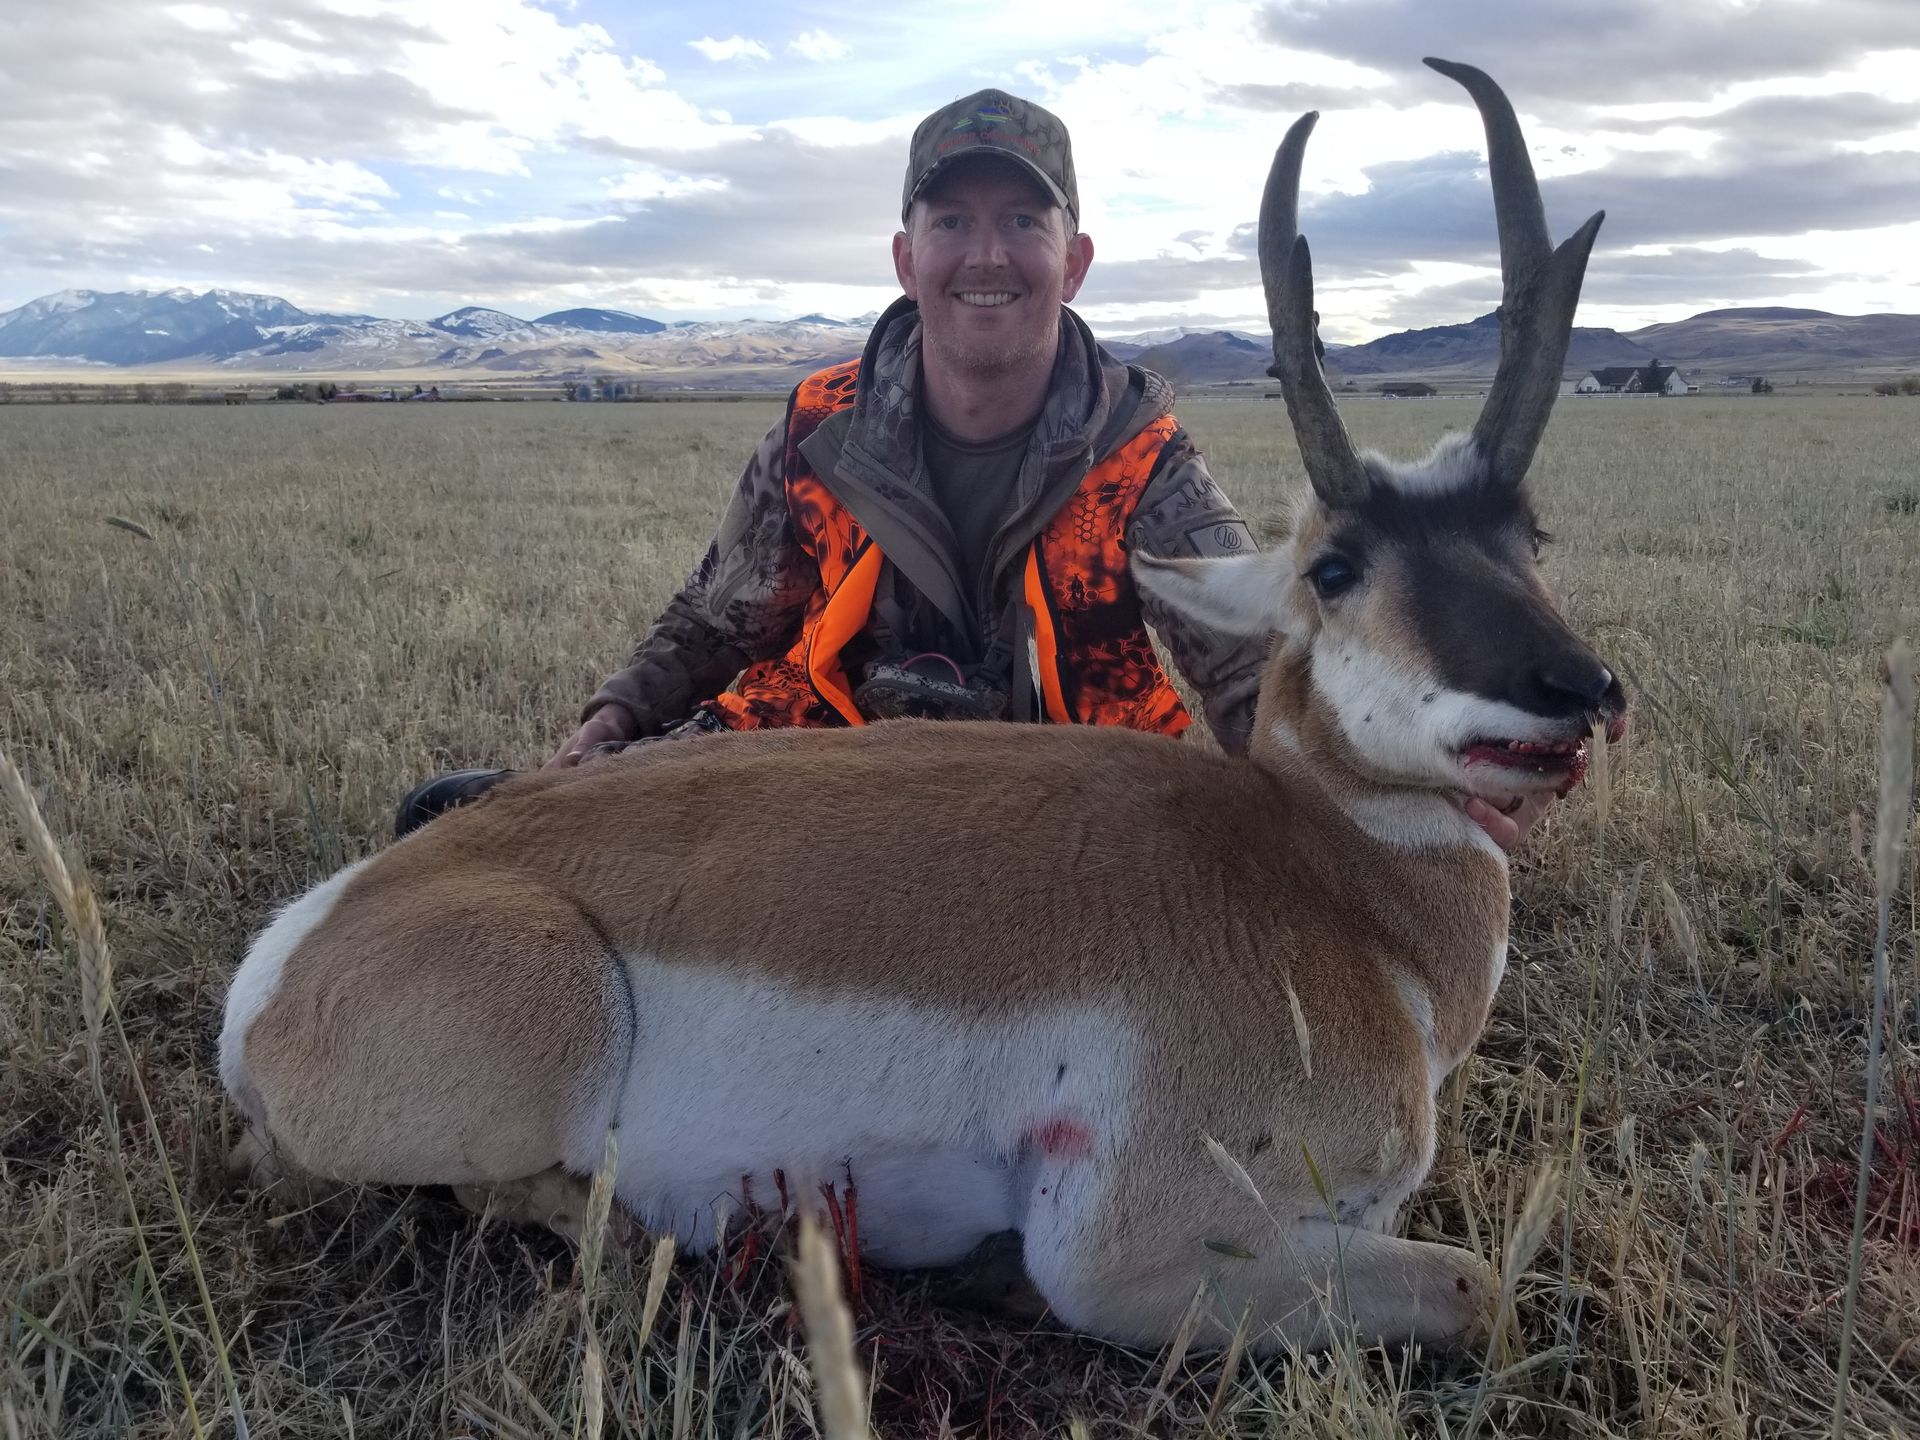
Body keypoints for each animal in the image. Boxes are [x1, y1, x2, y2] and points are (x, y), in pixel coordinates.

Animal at [220, 58, 1624, 1355]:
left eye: (1530, 533)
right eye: (1335, 568)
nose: (1582, 692)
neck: (1324, 880)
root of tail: (296, 950)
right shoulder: (1132, 1257)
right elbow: (1482, 1284)